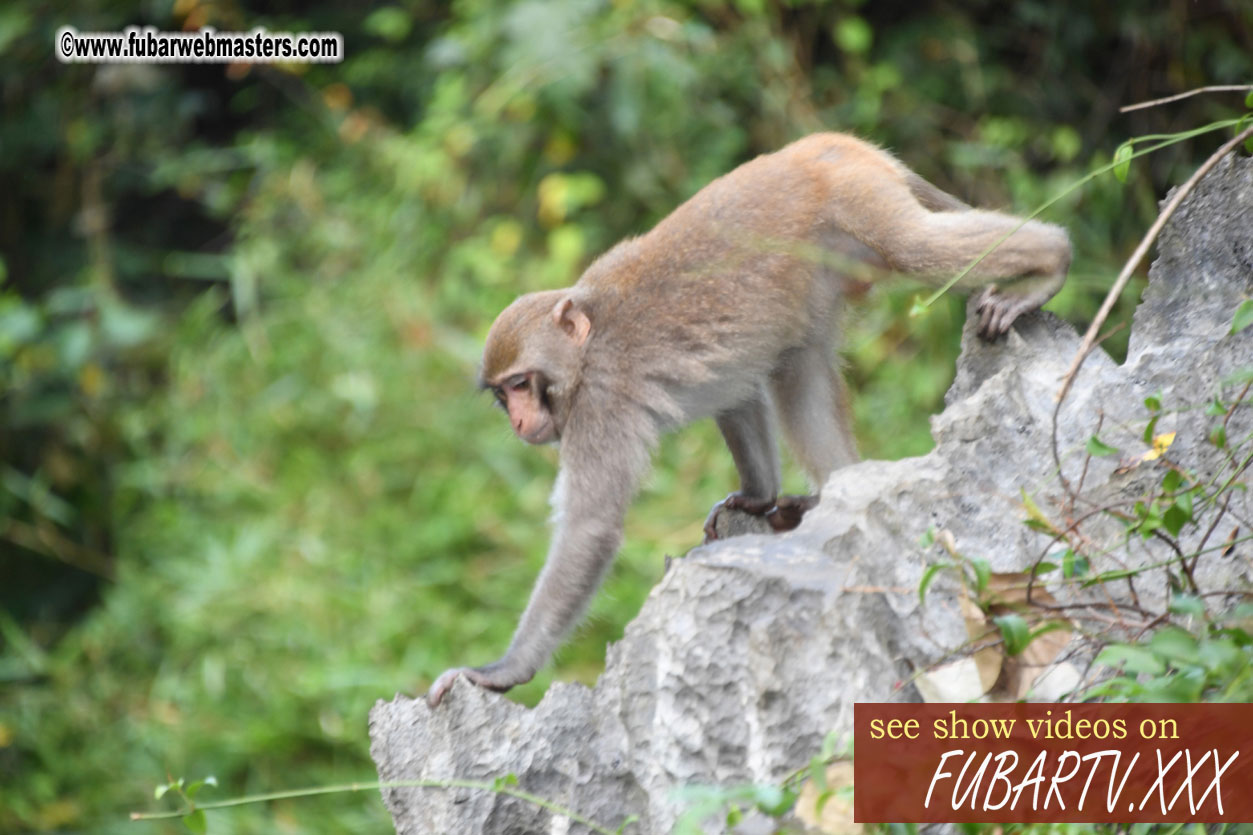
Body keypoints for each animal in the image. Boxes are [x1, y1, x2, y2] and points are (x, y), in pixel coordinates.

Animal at [426, 130, 1072, 702]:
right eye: (501, 395)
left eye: (521, 384)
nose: (518, 421)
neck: (588, 343)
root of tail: (827, 144)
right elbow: (736, 389)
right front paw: (756, 496)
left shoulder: (602, 402)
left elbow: (590, 527)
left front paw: (500, 671)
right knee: (798, 363)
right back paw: (833, 491)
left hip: (858, 203)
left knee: (918, 249)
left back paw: (1050, 262)